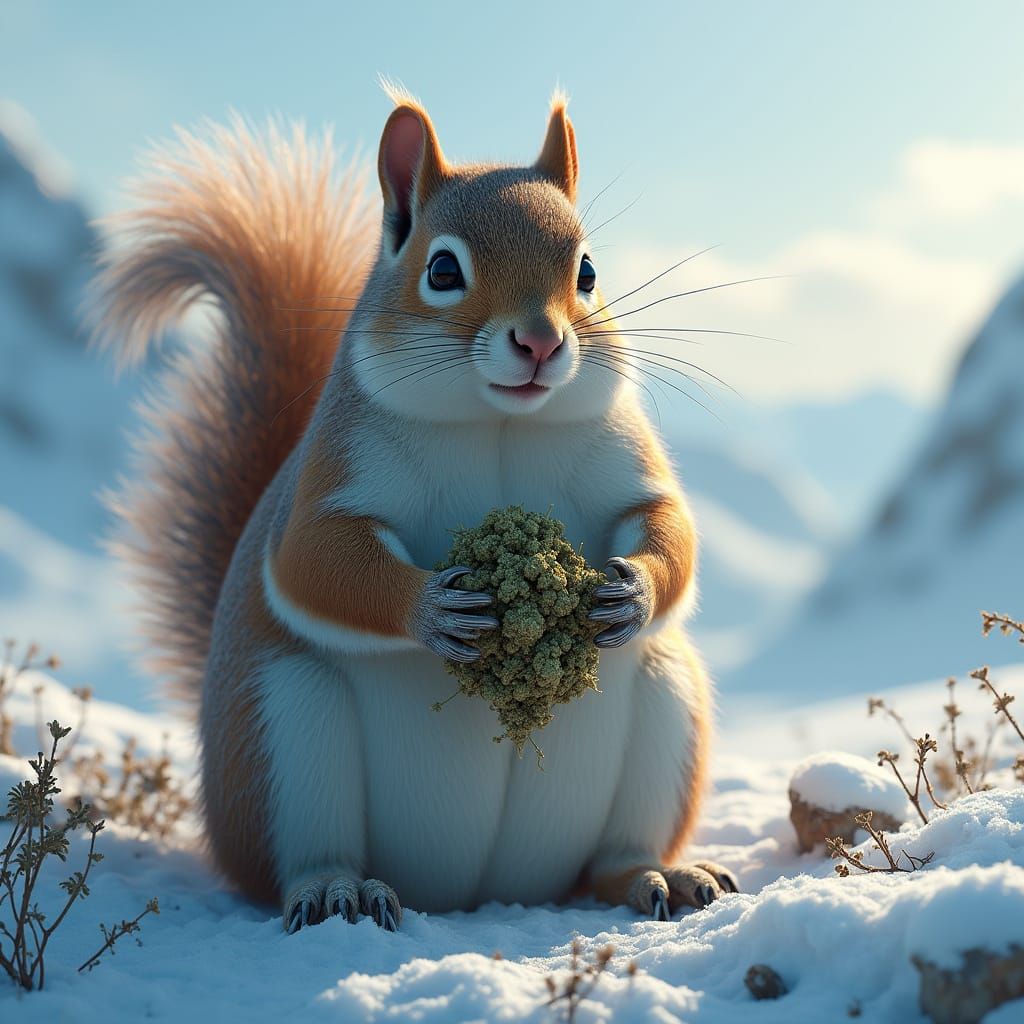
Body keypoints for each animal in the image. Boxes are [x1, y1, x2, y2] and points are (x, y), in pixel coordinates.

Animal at [96, 86, 737, 933]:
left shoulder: (625, 461)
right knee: (302, 856)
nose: (540, 343)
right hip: (285, 733)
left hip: (667, 707)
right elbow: (317, 561)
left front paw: (631, 590)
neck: (499, 422)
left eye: (589, 270)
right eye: (442, 269)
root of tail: (470, 894)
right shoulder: (332, 477)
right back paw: (339, 891)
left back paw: (656, 875)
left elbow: (670, 526)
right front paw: (433, 608)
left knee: (611, 855)